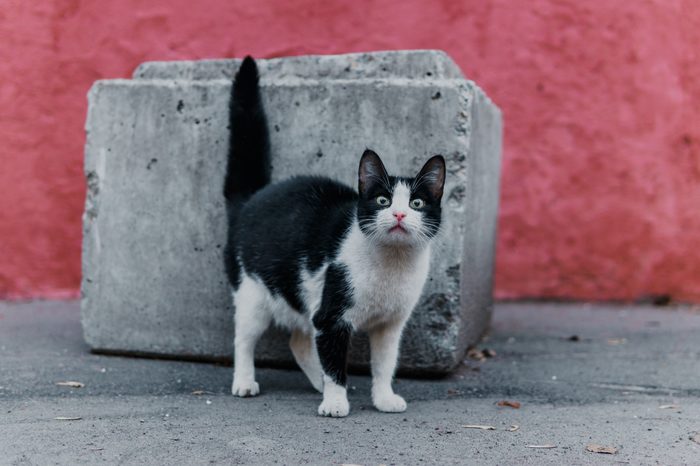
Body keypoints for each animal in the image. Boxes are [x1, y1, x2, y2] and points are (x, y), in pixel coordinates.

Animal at [221, 56, 446, 416]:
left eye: (417, 203)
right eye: (382, 201)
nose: (399, 215)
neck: (391, 264)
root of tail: (252, 199)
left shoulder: (390, 326)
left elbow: (385, 364)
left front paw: (384, 398)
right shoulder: (332, 316)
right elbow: (334, 357)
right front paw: (336, 402)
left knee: (300, 340)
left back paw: (318, 384)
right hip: (252, 291)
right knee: (244, 338)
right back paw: (245, 382)